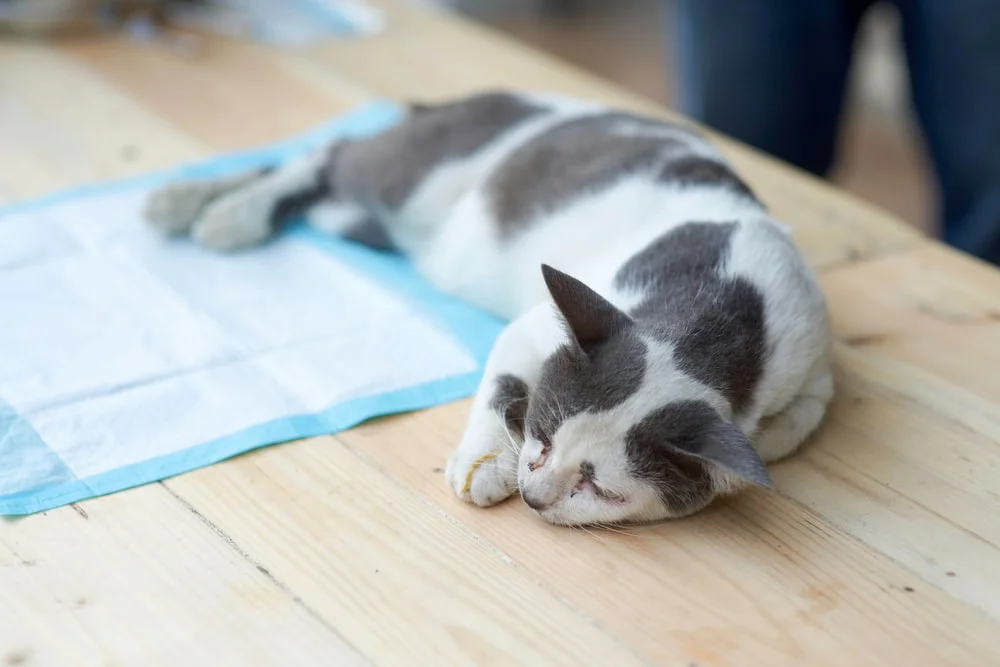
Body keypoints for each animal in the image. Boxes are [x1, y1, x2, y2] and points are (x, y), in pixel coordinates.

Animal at [146, 91, 836, 528]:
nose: (534, 495)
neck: (725, 315)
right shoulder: (543, 323)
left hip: (365, 223)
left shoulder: (812, 368)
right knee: (334, 153)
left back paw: (203, 205)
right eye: (545, 435)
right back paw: (211, 209)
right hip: (420, 174)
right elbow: (503, 371)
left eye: (602, 489)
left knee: (327, 191)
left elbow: (785, 432)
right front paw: (483, 460)